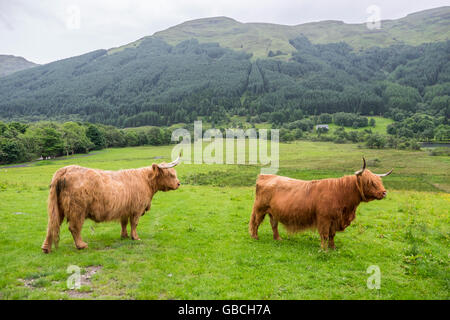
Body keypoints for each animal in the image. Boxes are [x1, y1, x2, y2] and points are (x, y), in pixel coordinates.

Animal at [41, 156, 182, 254]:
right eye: (170, 174)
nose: (179, 183)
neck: (146, 182)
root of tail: (65, 169)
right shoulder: (137, 208)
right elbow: (134, 223)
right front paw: (135, 237)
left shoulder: (125, 209)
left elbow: (124, 223)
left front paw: (124, 236)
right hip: (77, 209)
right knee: (74, 227)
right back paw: (82, 245)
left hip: (57, 208)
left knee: (51, 225)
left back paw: (46, 248)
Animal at [248, 158, 392, 250]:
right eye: (370, 182)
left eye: (379, 181)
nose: (384, 192)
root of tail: (266, 176)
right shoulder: (324, 218)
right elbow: (324, 235)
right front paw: (324, 249)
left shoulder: (335, 219)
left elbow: (332, 235)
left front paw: (333, 247)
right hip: (260, 209)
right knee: (256, 222)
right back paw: (255, 237)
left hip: (273, 212)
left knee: (274, 225)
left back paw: (278, 239)